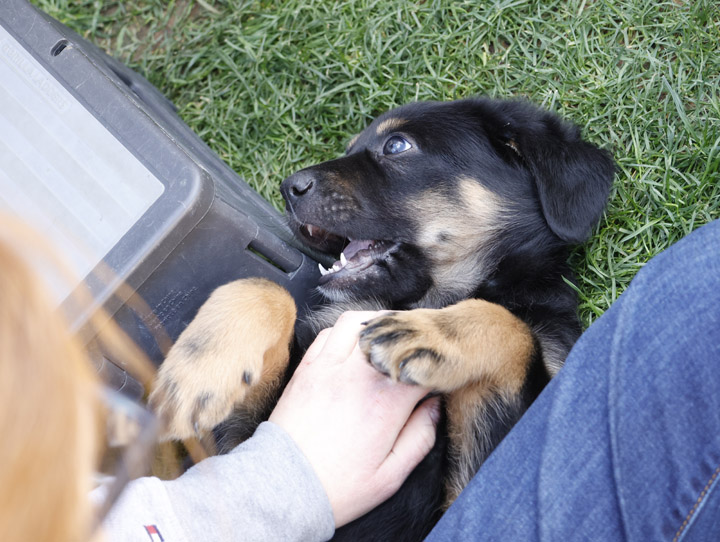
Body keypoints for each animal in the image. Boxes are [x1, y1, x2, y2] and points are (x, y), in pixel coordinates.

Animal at [150, 99, 612, 542]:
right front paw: (197, 372)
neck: (423, 296)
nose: (288, 188)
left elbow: (512, 325)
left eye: (397, 146)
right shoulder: (235, 444)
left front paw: (426, 333)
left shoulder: (471, 492)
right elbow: (264, 287)